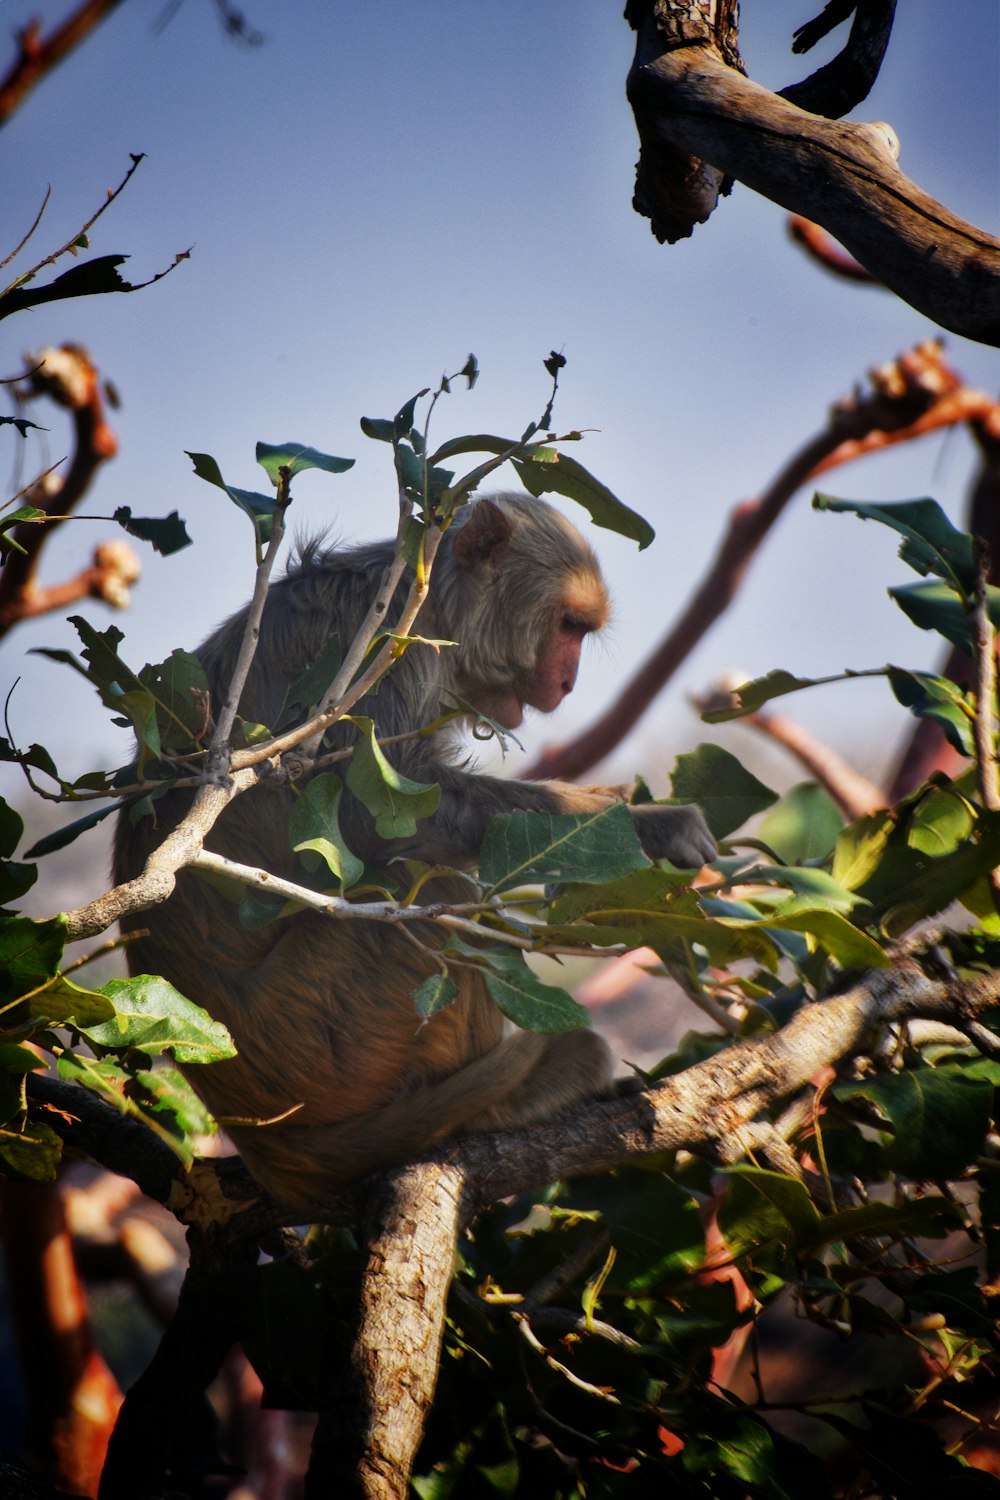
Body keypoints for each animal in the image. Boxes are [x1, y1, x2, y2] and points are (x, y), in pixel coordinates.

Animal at [113, 495, 716, 1206]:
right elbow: (385, 819)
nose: (567, 682)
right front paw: (647, 824)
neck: (435, 609)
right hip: (319, 1038)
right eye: (568, 625)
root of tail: (260, 1140)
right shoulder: (381, 649)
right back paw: (498, 1102)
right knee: (424, 889)